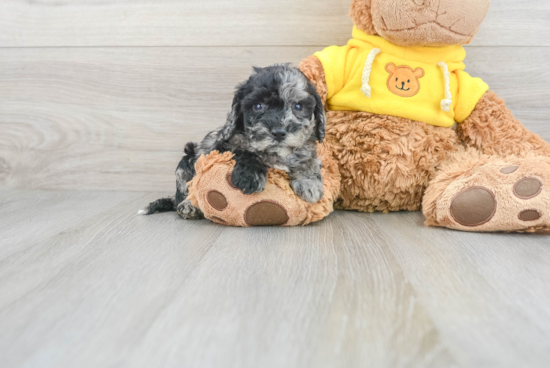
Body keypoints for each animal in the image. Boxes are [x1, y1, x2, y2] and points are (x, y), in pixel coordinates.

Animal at [140, 63, 326, 218]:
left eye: (298, 106)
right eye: (258, 106)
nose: (279, 133)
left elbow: (308, 159)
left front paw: (309, 182)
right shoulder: (222, 146)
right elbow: (245, 151)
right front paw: (250, 177)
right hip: (186, 163)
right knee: (186, 191)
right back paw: (188, 205)